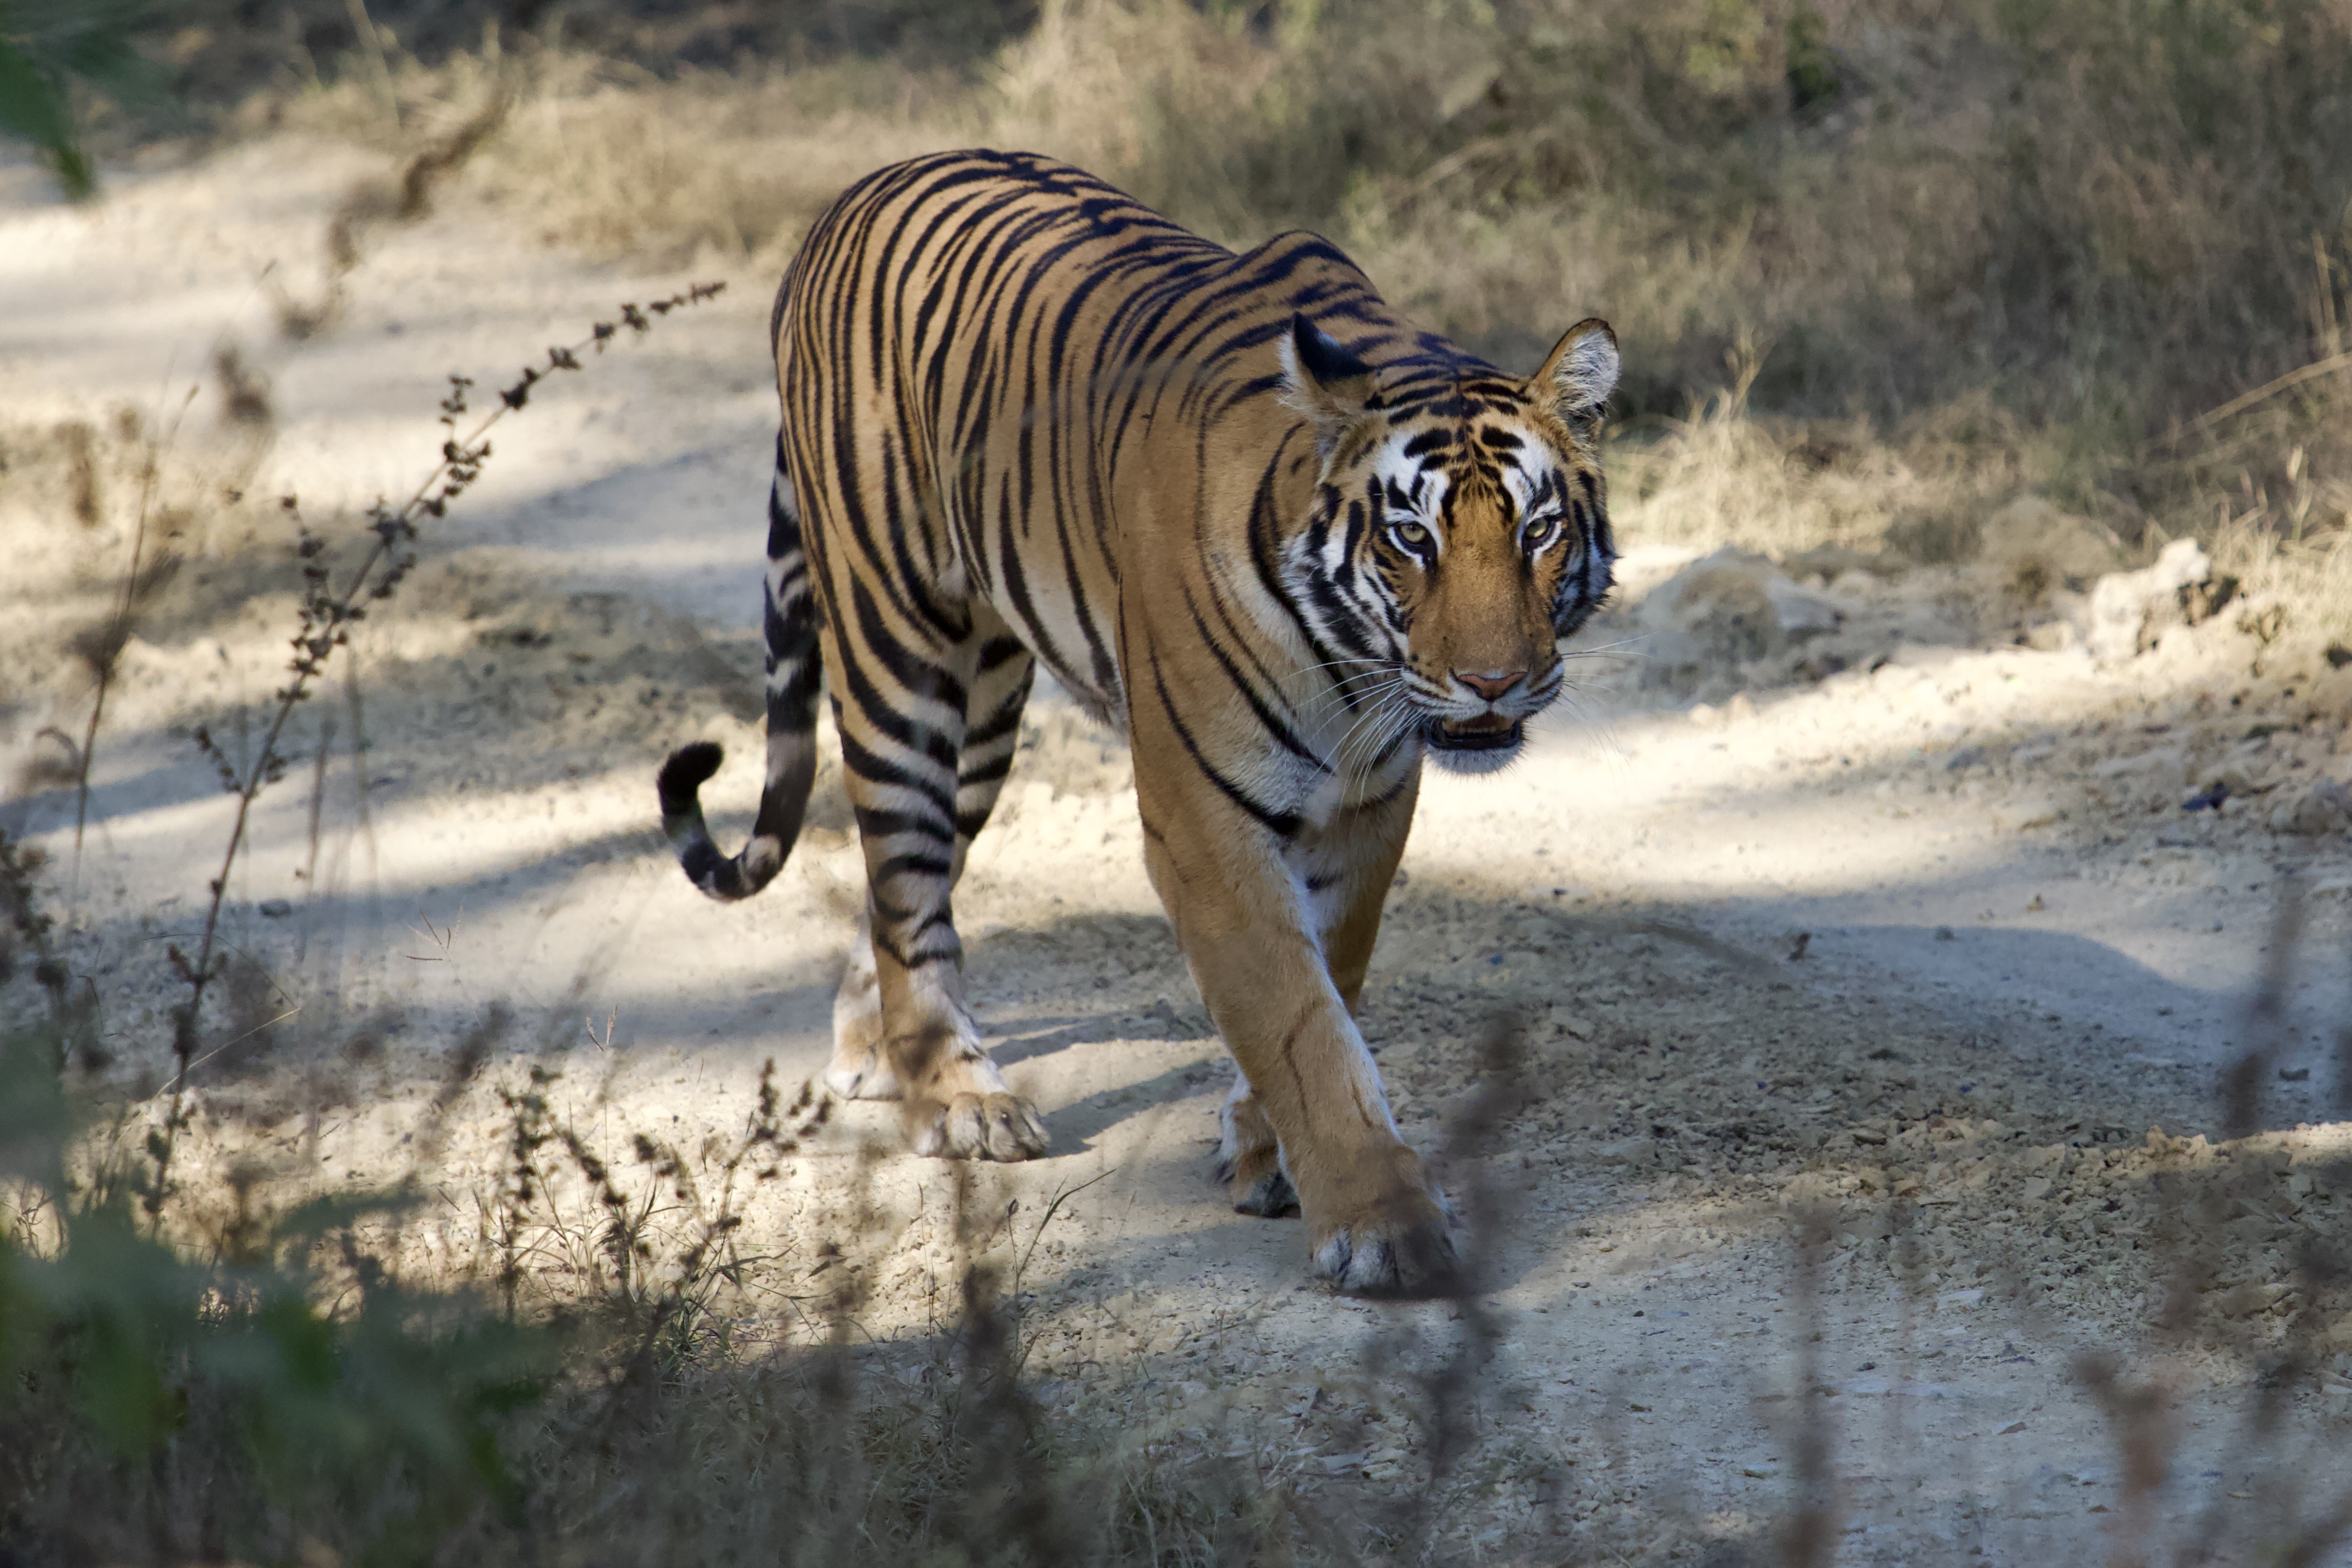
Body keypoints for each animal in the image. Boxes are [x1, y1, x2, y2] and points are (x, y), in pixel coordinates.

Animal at [658, 149, 1618, 1295]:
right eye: (1410, 538)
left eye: (1539, 531)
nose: (1491, 682)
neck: (1348, 668)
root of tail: (860, 189)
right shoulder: (1202, 822)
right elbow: (1298, 1020)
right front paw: (1383, 1225)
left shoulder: (1367, 804)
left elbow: (1330, 974)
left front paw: (1265, 1151)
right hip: (898, 653)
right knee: (905, 873)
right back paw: (959, 1098)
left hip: (985, 711)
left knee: (901, 893)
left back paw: (873, 1050)